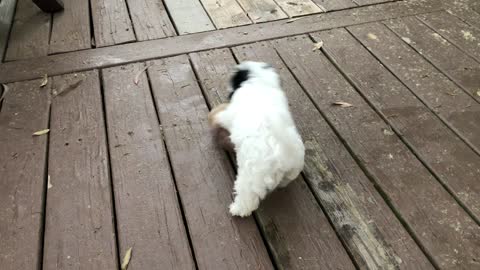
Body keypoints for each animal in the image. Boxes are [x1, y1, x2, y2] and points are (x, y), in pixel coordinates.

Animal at [210, 61, 304, 217]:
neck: (260, 82)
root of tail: (282, 153)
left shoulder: (230, 113)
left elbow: (221, 115)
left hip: (250, 179)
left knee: (247, 199)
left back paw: (237, 209)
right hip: (293, 168)